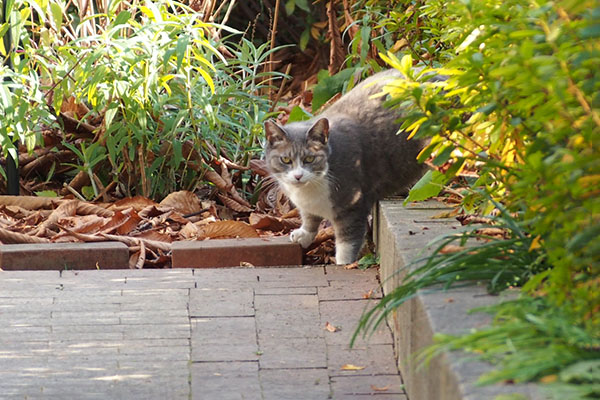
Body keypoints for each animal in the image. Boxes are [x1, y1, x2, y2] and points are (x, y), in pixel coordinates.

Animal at [264, 70, 428, 264]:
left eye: (310, 158)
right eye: (286, 160)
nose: (298, 176)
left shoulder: (352, 204)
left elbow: (347, 239)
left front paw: (344, 263)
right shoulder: (308, 206)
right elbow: (309, 217)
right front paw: (304, 234)